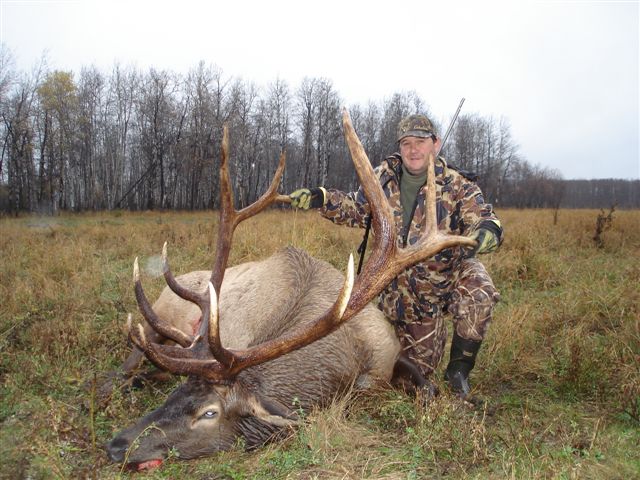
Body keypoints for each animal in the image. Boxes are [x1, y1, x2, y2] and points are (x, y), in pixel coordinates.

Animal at [105, 109, 476, 470]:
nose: (116, 444)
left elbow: (427, 387)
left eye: (209, 412)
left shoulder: (391, 351)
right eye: (179, 392)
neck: (348, 356)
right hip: (159, 325)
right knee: (129, 364)